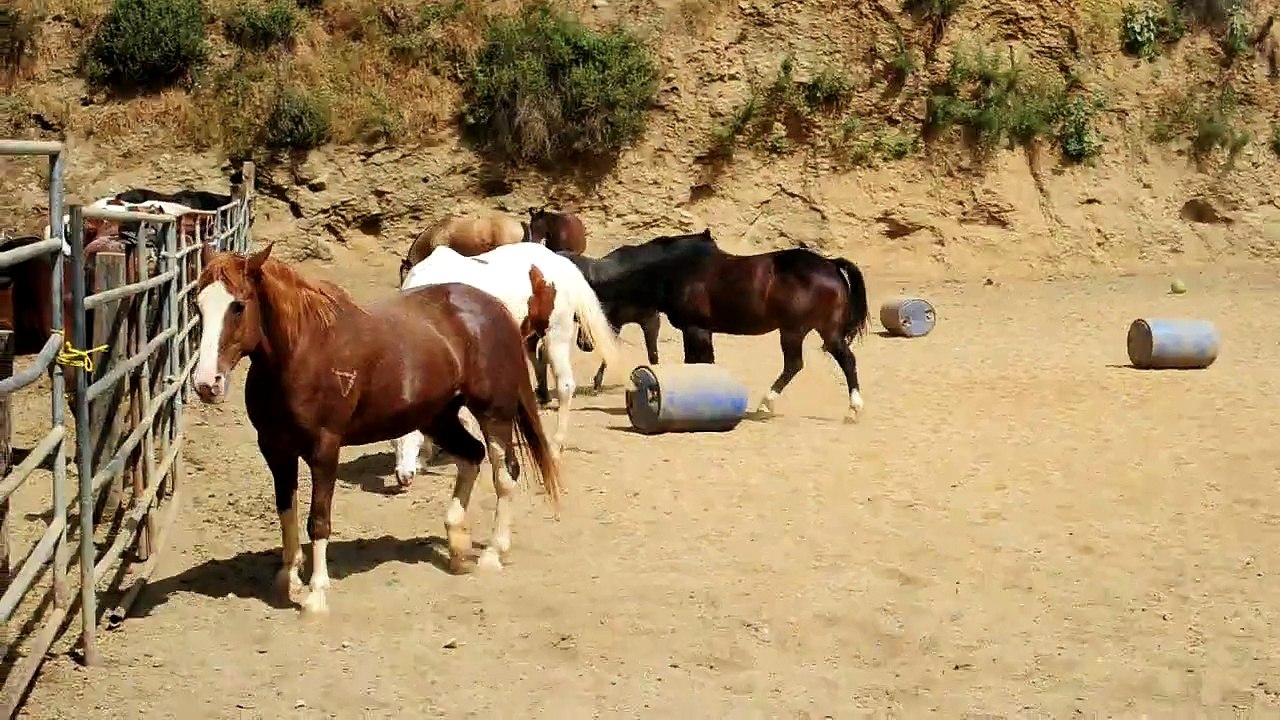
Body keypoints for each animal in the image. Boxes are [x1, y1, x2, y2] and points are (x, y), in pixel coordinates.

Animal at [191, 242, 562, 618]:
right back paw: (457, 545)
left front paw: (315, 595)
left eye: (238, 305)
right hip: (438, 417)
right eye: (197, 304)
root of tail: (493, 308)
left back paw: (492, 553)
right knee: (472, 455)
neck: (302, 353)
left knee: (505, 473)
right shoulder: (275, 449)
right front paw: (288, 578)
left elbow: (318, 520)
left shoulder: (324, 449)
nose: (207, 384)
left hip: (493, 414)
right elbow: (286, 512)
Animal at [396, 243, 618, 482]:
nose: (403, 476)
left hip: (555, 334)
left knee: (565, 385)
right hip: (529, 337)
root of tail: (558, 262)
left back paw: (555, 447)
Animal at [566, 229, 871, 422]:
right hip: (814, 330)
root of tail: (830, 265)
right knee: (821, 362)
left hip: (798, 331)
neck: (675, 271)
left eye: (585, 313)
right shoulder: (702, 331)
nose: (584, 343)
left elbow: (697, 363)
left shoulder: (695, 329)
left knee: (818, 363)